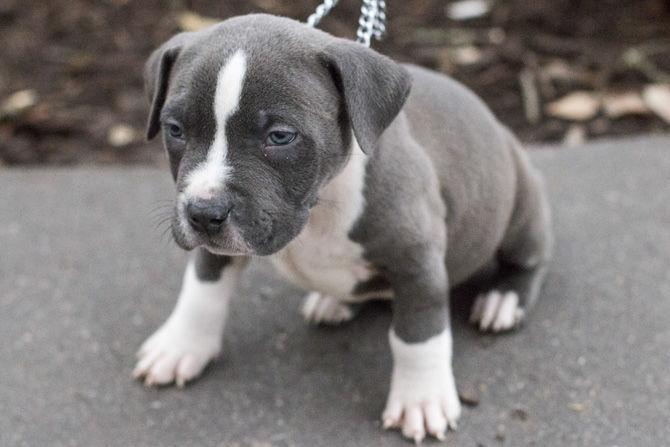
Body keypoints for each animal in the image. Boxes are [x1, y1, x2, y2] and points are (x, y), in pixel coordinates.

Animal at [134, 14, 552, 444]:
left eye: (280, 136)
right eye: (175, 129)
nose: (204, 213)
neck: (321, 204)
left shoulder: (416, 261)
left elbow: (418, 335)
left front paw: (421, 399)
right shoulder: (214, 250)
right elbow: (202, 289)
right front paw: (180, 345)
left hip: (521, 205)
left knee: (530, 258)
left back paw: (503, 298)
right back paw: (334, 301)